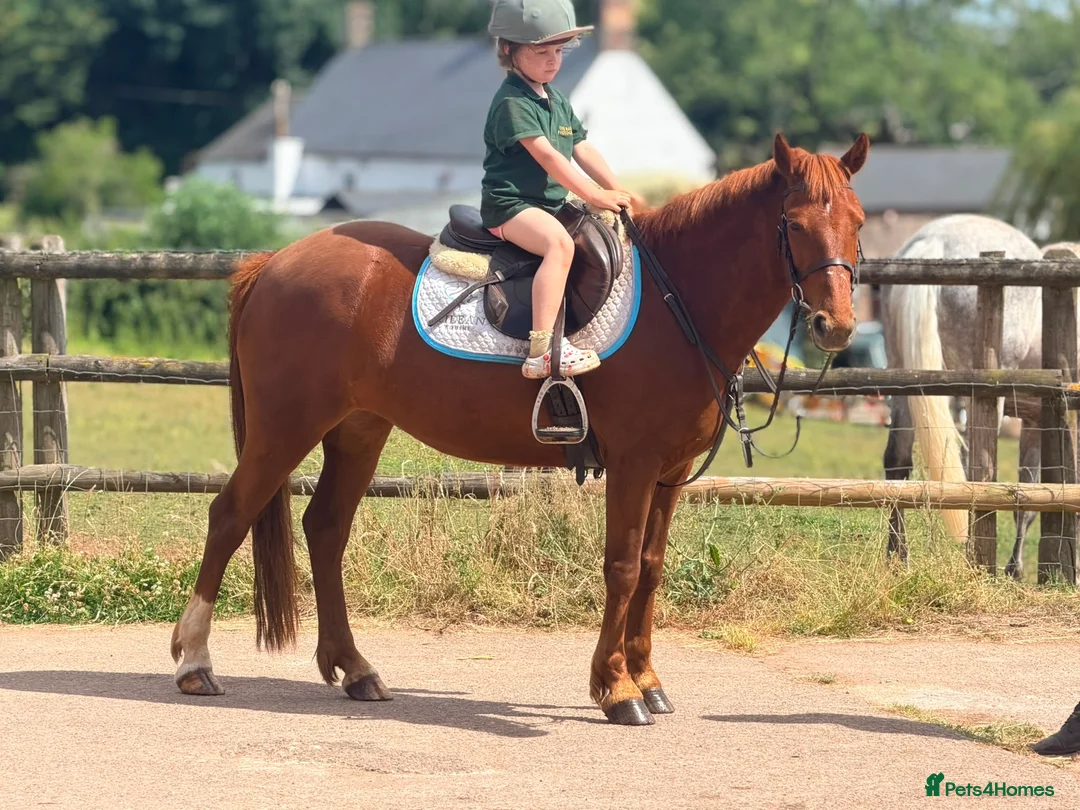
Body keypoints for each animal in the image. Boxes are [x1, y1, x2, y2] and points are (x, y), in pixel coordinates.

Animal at [170, 132, 869, 726]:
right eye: (796, 225)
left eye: (858, 222)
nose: (835, 326)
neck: (679, 302)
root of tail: (274, 261)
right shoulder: (636, 464)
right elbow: (621, 566)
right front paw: (615, 688)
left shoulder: (669, 475)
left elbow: (651, 568)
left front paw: (646, 680)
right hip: (285, 428)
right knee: (230, 515)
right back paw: (195, 661)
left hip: (359, 430)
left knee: (325, 529)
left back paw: (355, 669)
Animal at [879, 214, 1045, 577]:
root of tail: (935, 241)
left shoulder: (1035, 421)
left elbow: (1029, 494)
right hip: (981, 398)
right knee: (976, 473)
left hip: (906, 385)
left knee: (897, 463)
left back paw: (898, 557)